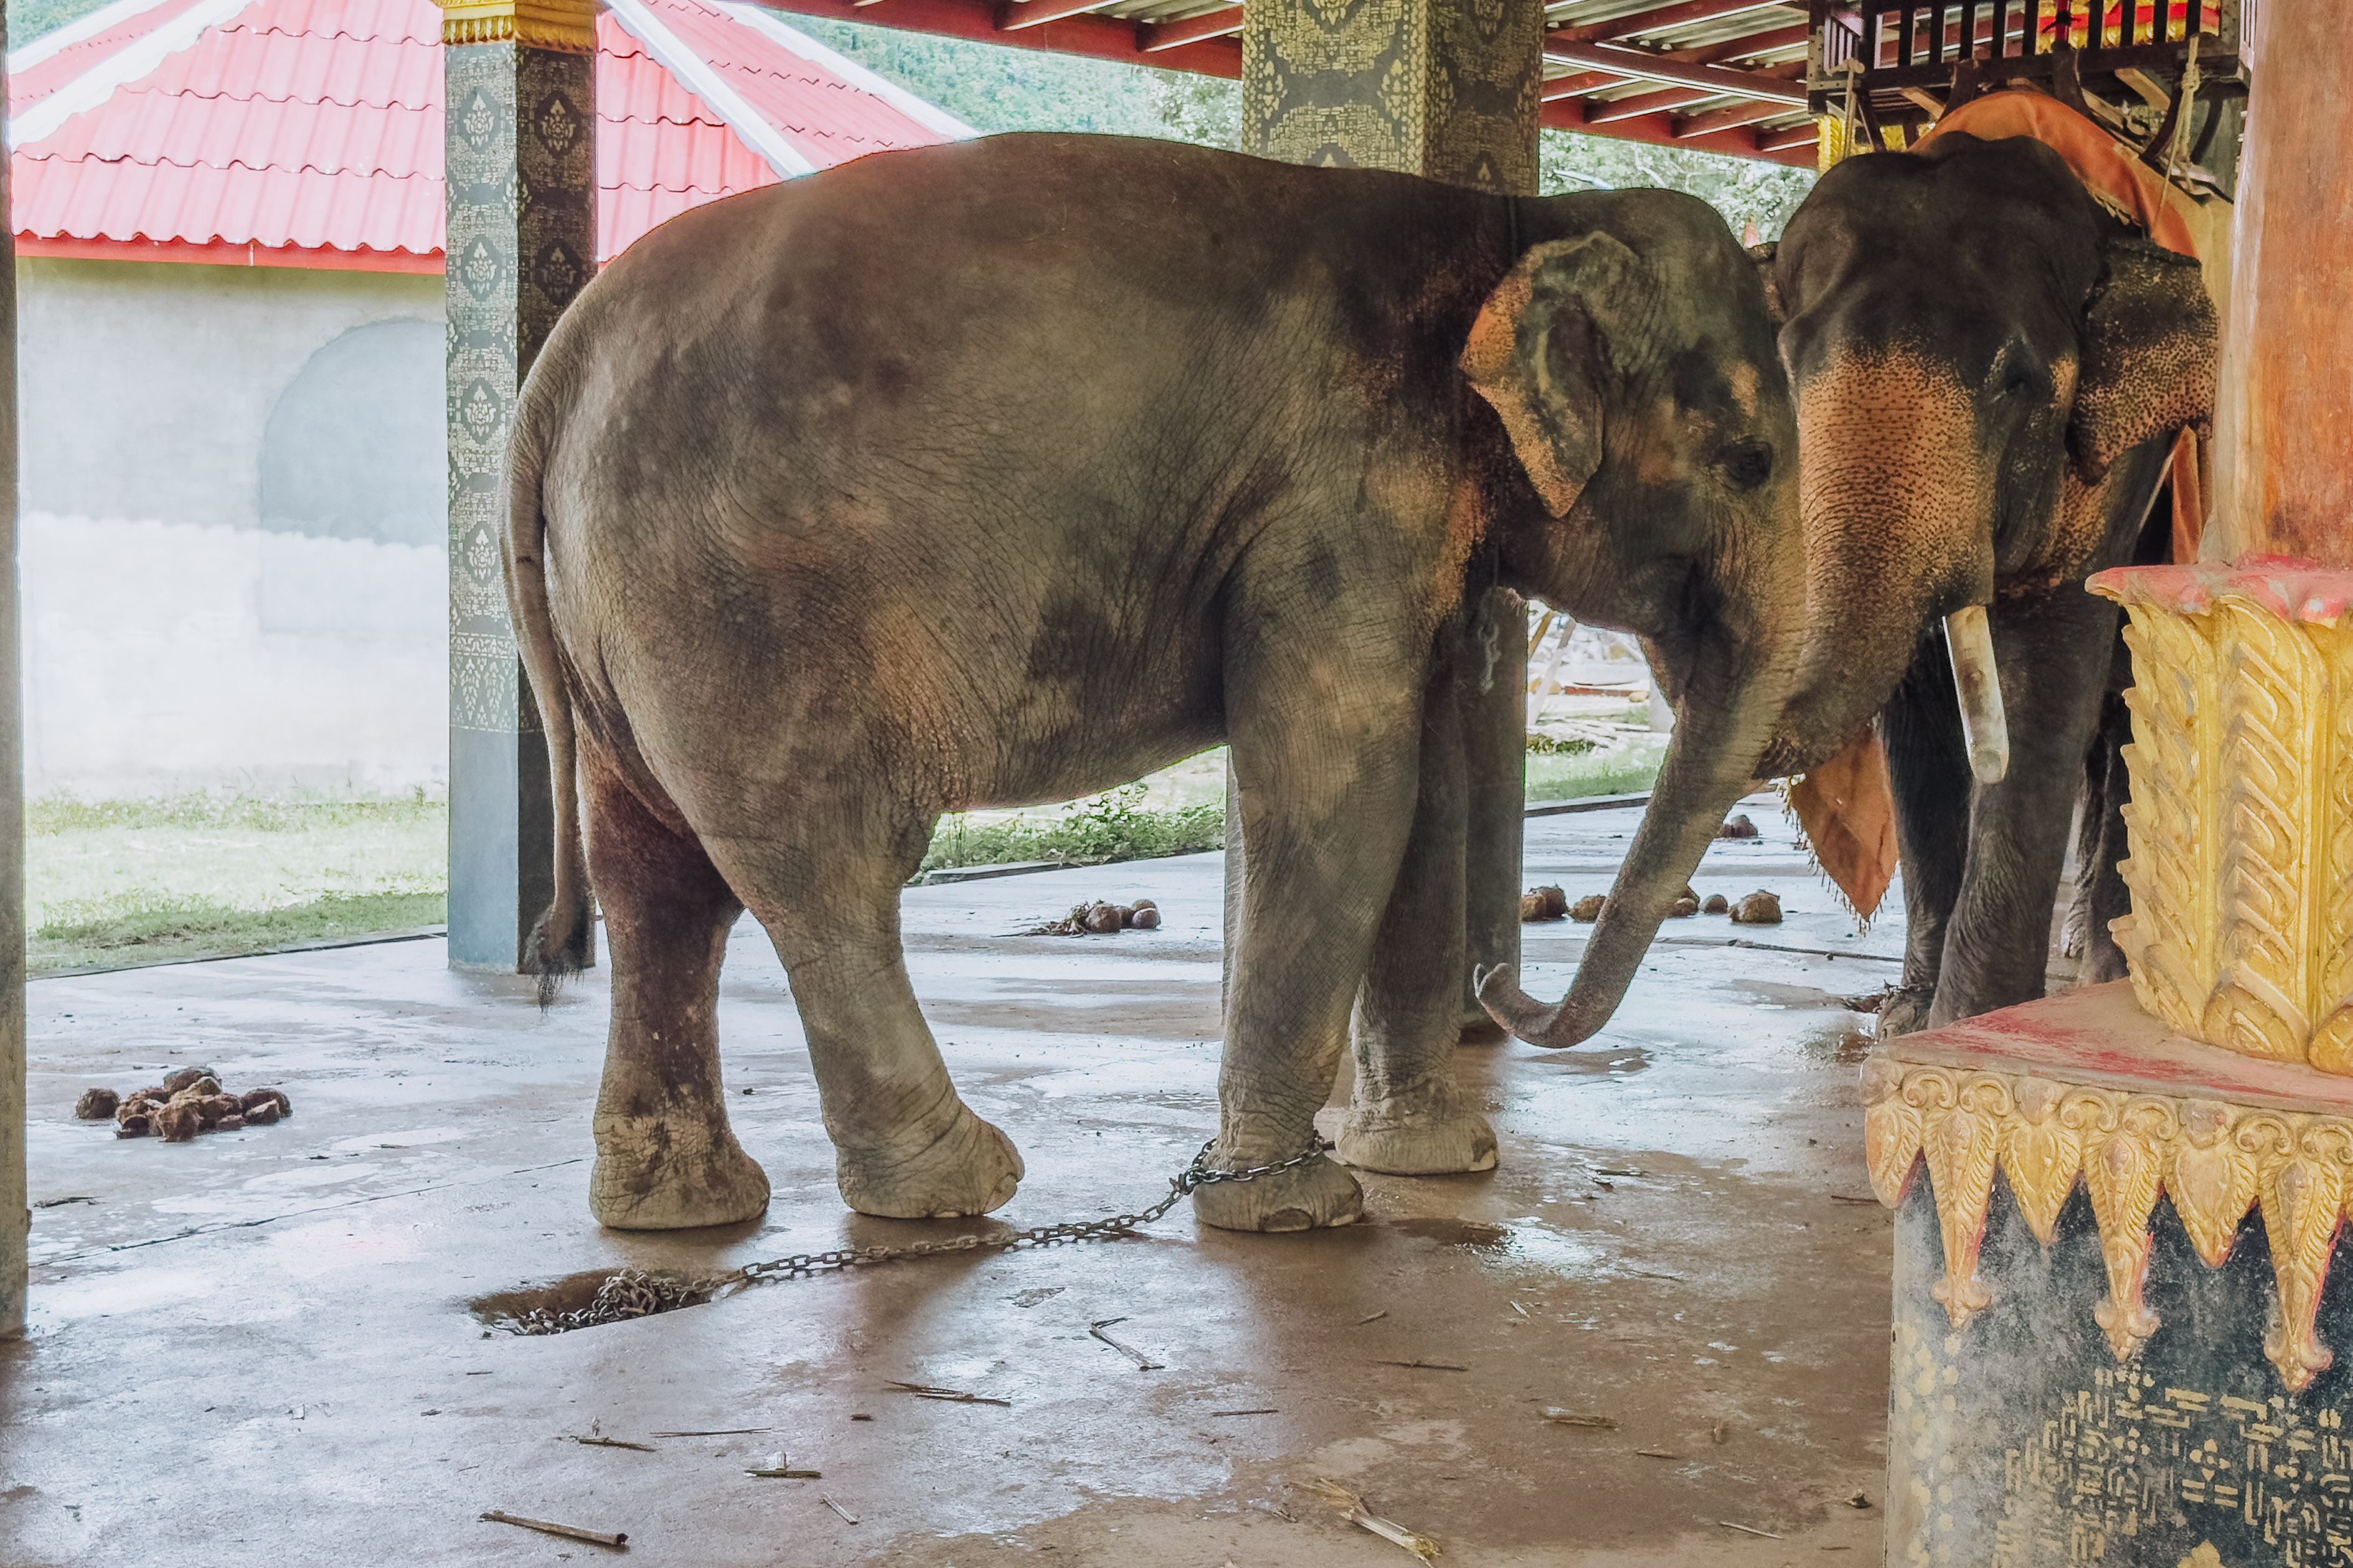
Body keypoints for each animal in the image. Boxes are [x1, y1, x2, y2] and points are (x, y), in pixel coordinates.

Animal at [503, 132, 1804, 1234]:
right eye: (1748, 461)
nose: (1504, 981)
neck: (1518, 226)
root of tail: (553, 370)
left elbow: (1425, 794)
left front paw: (1435, 1160)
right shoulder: (1338, 490)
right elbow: (1342, 787)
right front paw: (1291, 1210)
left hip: (625, 616)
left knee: (658, 877)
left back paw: (677, 1209)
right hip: (733, 609)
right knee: (821, 863)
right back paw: (958, 1187)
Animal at [1760, 125, 2217, 1036]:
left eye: (2016, 382)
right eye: (1787, 369)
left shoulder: (2118, 467)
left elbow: (2045, 670)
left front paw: (1963, 1021)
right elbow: (1913, 708)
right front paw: (1906, 1022)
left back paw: (2107, 969)